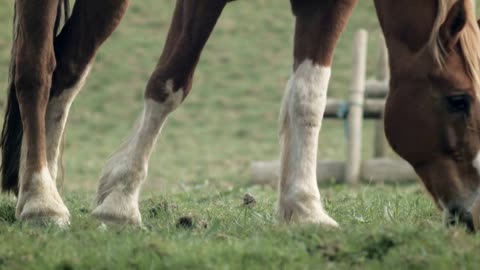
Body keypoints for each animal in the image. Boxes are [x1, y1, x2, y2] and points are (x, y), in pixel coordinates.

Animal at [2, 0, 480, 232]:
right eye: (459, 100)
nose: (473, 213)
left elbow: (309, 94)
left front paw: (304, 208)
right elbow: (170, 81)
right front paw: (120, 200)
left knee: (68, 67)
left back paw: (38, 188)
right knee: (36, 70)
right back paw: (41, 201)